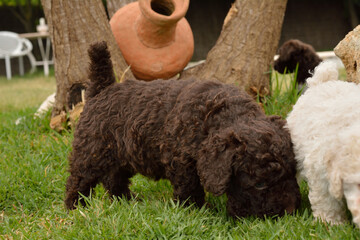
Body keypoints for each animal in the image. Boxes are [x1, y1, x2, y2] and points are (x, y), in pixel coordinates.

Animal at [65, 41, 300, 218]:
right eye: (259, 184)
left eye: (293, 175)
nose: (289, 212)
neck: (223, 115)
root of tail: (102, 89)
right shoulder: (182, 162)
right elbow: (190, 188)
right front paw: (196, 212)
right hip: (90, 151)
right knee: (78, 181)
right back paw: (74, 209)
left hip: (120, 155)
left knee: (114, 179)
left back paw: (125, 201)